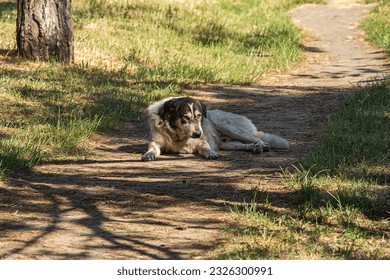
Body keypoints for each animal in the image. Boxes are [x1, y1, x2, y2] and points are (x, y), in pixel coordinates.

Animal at [140, 97, 290, 161]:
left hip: (230, 128)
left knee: (257, 139)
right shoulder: (156, 142)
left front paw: (210, 153)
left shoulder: (202, 142)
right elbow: (152, 147)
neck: (177, 135)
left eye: (199, 116)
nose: (198, 133)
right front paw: (148, 154)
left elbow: (206, 147)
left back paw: (262, 146)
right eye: (185, 117)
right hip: (227, 144)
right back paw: (254, 148)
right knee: (244, 144)